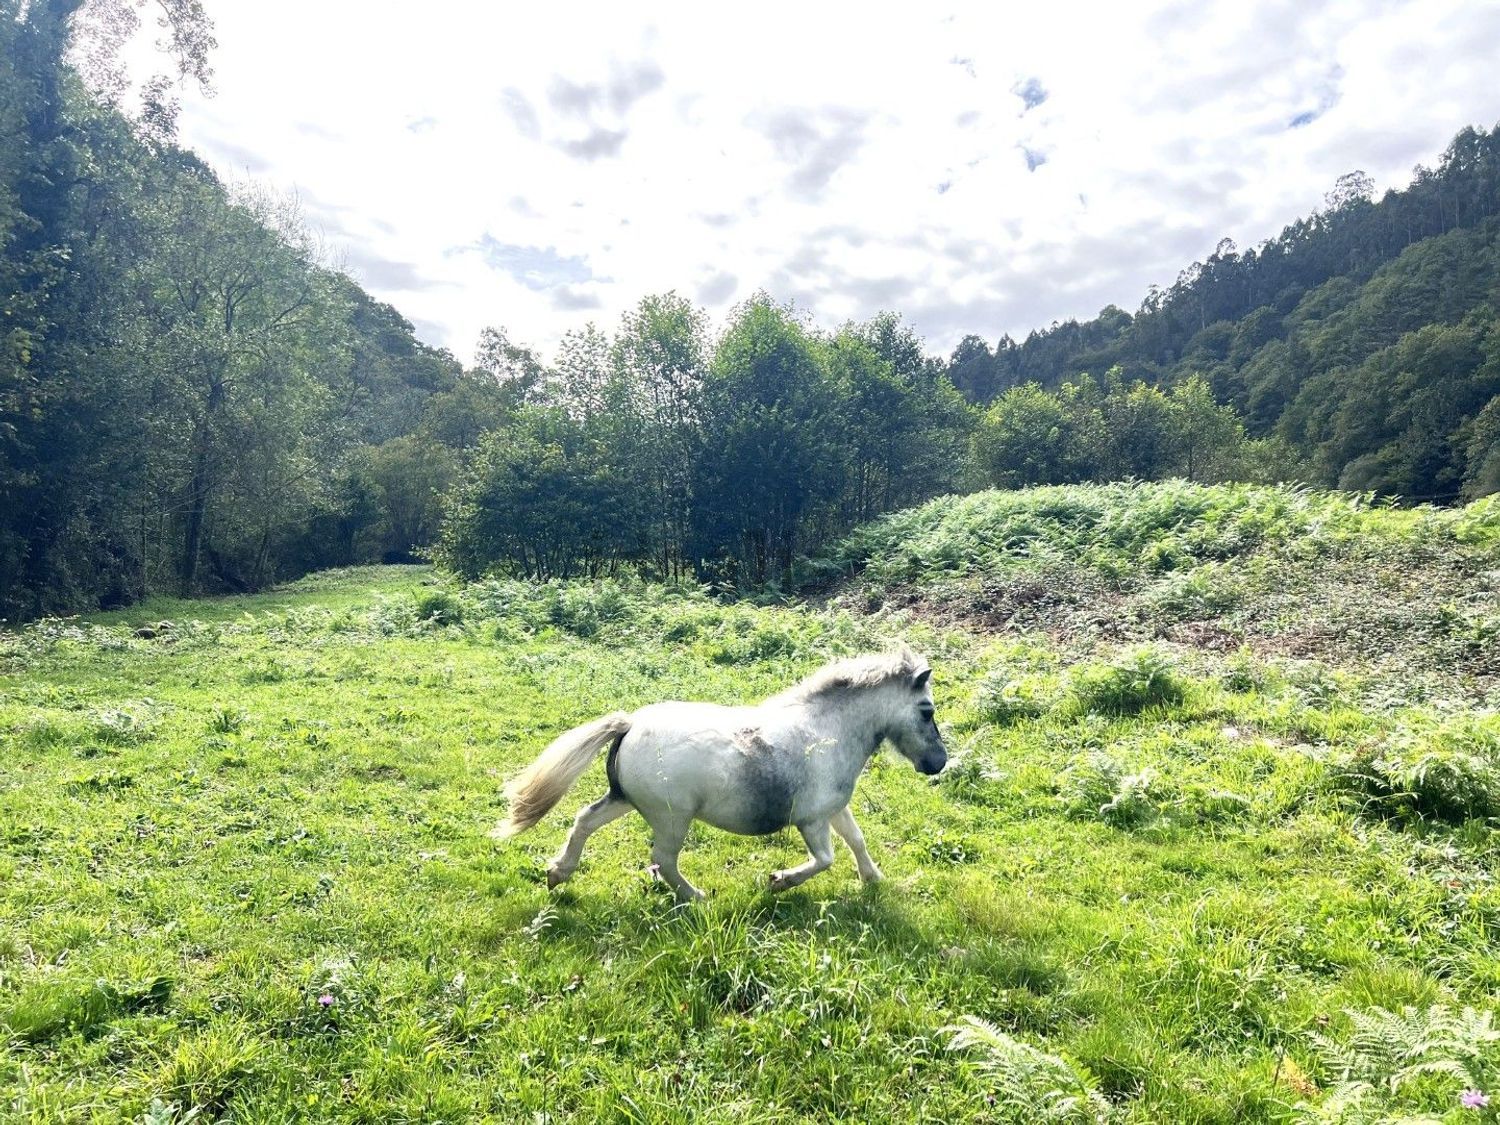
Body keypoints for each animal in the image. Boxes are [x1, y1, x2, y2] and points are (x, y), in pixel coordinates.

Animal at [491, 645, 948, 902]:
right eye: (927, 710)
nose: (939, 763)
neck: (827, 732)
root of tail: (630, 724)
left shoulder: (835, 808)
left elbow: (857, 840)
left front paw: (873, 879)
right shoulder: (812, 820)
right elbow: (825, 859)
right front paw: (778, 881)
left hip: (625, 801)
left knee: (584, 819)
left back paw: (557, 873)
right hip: (672, 818)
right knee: (662, 860)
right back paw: (697, 897)